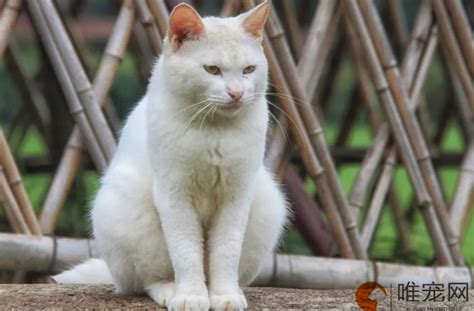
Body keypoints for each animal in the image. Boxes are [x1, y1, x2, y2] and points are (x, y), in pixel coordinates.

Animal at [53, 1, 286, 310]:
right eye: (212, 69)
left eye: (249, 69)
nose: (236, 93)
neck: (214, 131)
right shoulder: (175, 196)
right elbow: (186, 252)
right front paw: (191, 296)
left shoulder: (236, 197)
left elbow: (226, 251)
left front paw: (225, 296)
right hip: (127, 212)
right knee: (146, 281)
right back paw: (170, 290)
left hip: (267, 203)